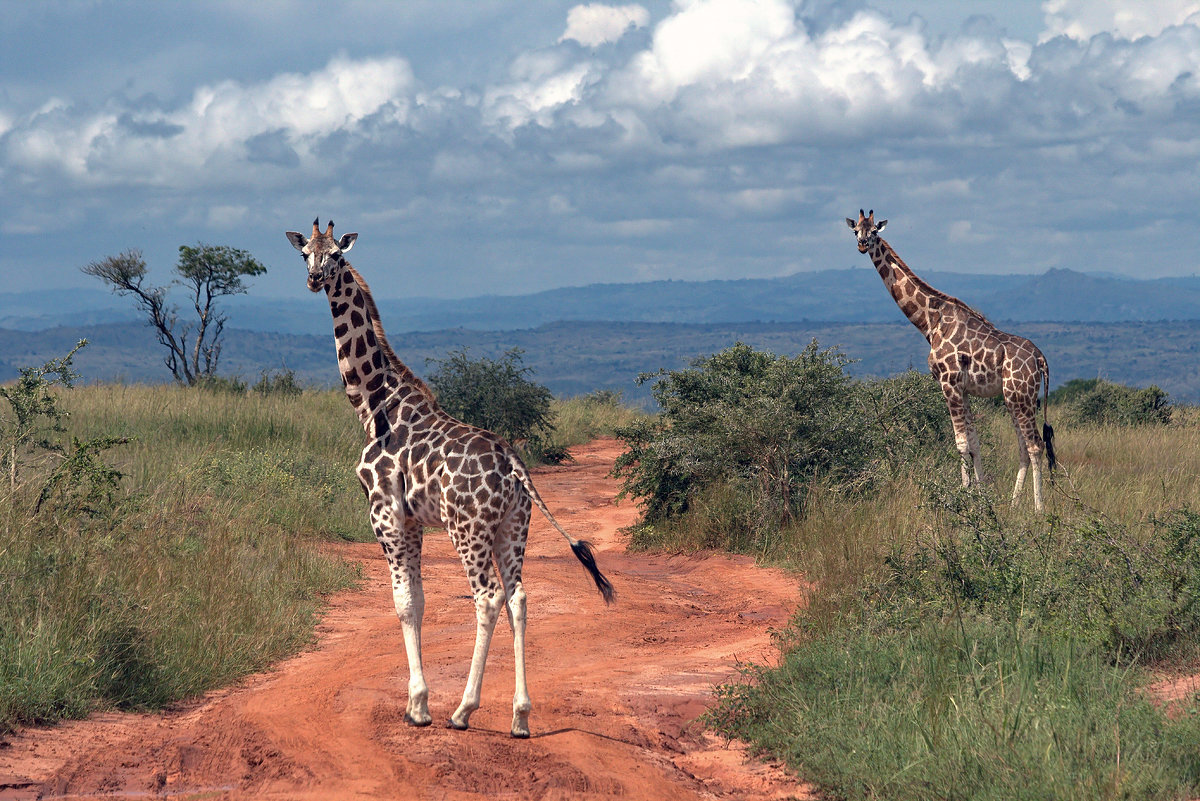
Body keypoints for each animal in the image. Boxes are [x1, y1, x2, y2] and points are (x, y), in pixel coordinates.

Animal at [285, 217, 614, 738]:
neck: (374, 406)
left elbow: (403, 601)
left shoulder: (384, 512)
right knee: (519, 598)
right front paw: (419, 701)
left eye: (336, 255)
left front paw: (418, 706)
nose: (316, 279)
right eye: (305, 255)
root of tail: (514, 465)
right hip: (513, 527)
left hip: (468, 529)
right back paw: (520, 716)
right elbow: (418, 600)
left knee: (488, 598)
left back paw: (463, 710)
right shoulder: (414, 520)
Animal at [844, 209, 1060, 510]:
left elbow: (961, 444)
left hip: (1021, 397)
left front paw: (964, 497)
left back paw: (1039, 510)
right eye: (856, 231)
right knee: (1023, 447)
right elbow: (974, 443)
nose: (863, 245)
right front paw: (981, 497)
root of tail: (1040, 359)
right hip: (1013, 398)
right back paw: (1013, 505)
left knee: (1036, 446)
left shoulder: (949, 383)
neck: (929, 321)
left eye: (875, 231)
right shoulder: (964, 389)